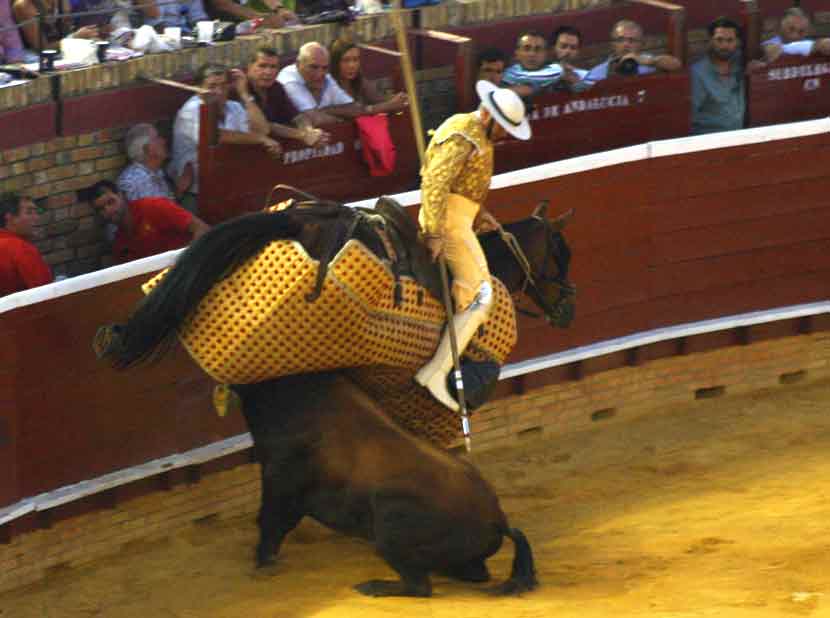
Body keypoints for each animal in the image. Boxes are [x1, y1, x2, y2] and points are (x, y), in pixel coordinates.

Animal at [234, 368, 540, 596]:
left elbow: (271, 524)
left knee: (419, 586)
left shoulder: (280, 483)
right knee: (473, 573)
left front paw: (262, 563)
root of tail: (497, 519)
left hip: (388, 527)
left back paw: (371, 586)